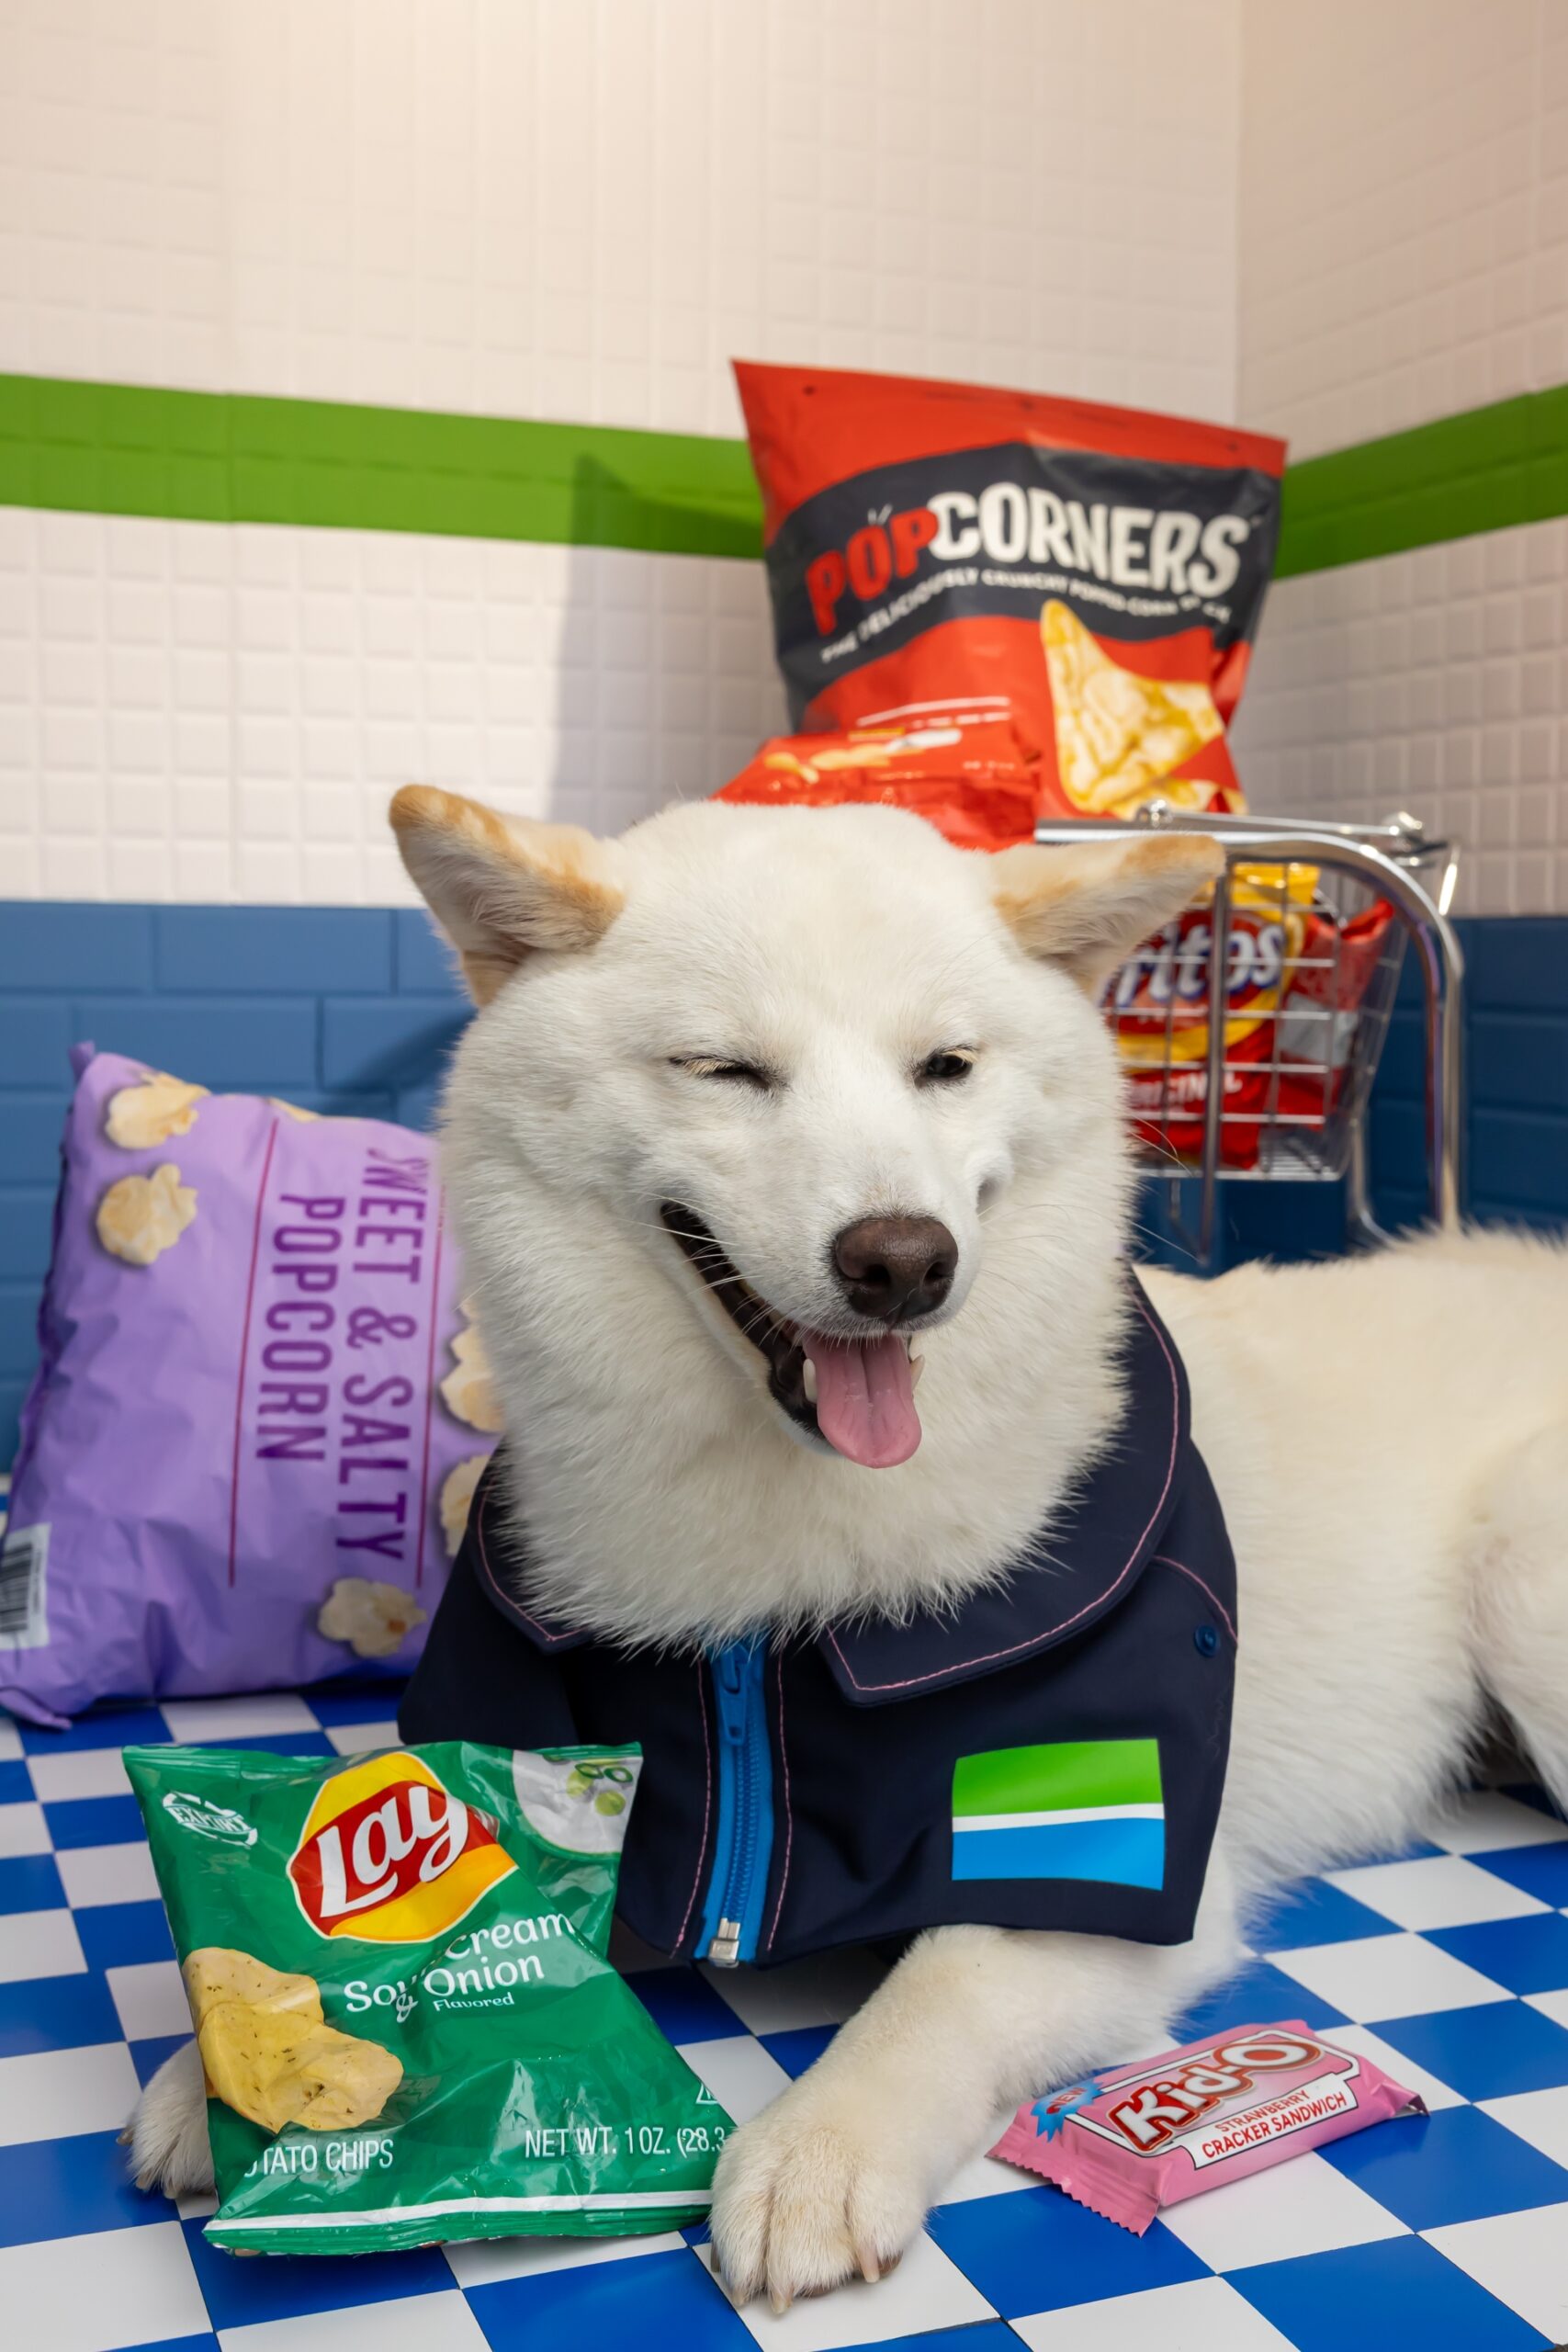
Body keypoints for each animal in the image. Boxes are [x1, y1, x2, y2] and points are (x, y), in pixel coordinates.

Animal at [131, 786, 1568, 2310]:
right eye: (724, 1070)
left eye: (944, 1066)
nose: (901, 1262)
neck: (775, 1600)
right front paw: (230, 2068)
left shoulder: (1113, 1856)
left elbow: (937, 1988)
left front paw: (818, 2148)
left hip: (1520, 1580)